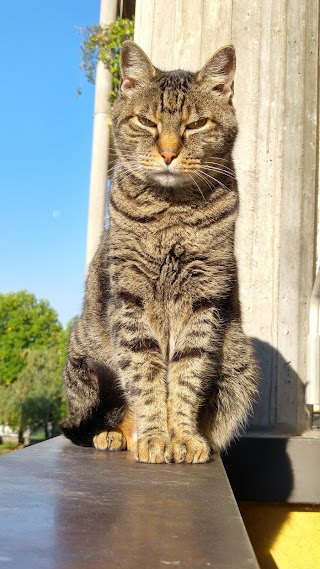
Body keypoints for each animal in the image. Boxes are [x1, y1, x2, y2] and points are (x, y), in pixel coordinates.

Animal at [61, 42, 258, 464]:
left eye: (196, 125)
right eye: (146, 122)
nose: (168, 153)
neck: (171, 213)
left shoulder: (204, 301)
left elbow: (186, 376)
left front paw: (182, 437)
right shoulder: (129, 298)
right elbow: (144, 374)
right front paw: (154, 436)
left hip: (239, 361)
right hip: (84, 364)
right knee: (100, 417)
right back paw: (115, 435)